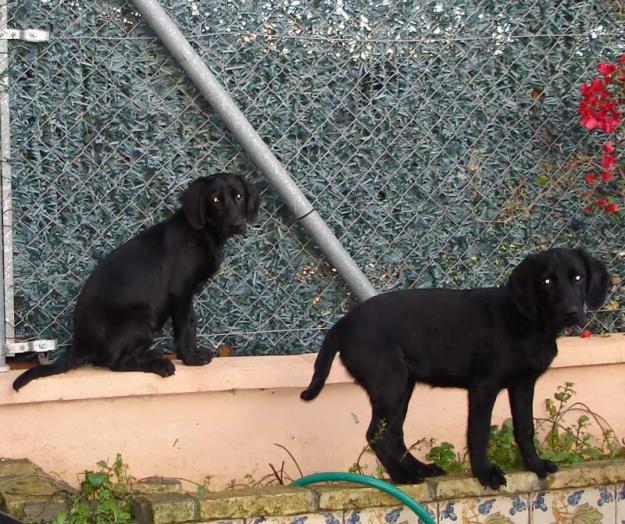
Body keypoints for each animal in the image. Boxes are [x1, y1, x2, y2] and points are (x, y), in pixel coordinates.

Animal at [14, 172, 258, 388]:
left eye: (239, 196)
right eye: (215, 200)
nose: (237, 224)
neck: (202, 234)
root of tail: (79, 345)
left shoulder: (187, 294)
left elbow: (192, 321)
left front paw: (193, 353)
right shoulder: (180, 290)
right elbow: (184, 326)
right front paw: (190, 358)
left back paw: (152, 354)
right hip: (142, 319)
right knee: (116, 363)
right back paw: (159, 365)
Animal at [300, 248, 608, 490]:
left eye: (578, 278)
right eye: (546, 281)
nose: (571, 312)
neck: (530, 323)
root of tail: (343, 323)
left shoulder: (523, 384)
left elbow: (525, 427)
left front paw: (535, 465)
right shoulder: (484, 386)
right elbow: (479, 432)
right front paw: (485, 474)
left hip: (403, 387)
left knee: (394, 434)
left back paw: (419, 470)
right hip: (390, 384)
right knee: (376, 434)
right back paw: (401, 477)